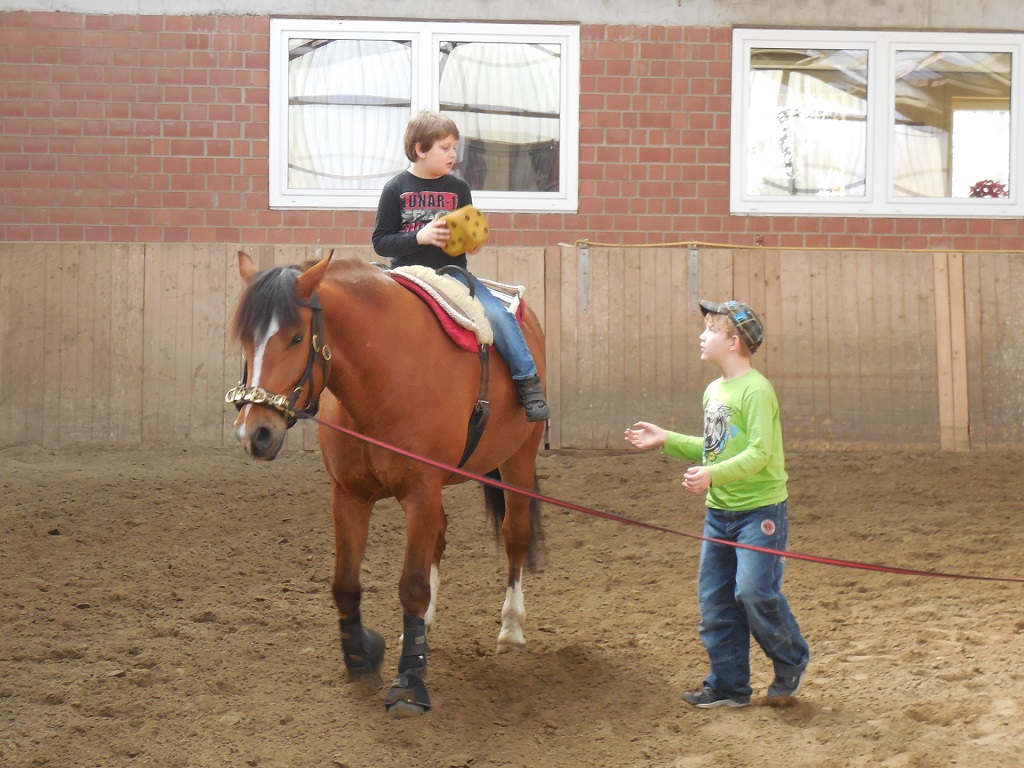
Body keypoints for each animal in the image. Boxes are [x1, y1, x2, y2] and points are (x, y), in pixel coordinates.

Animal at [224, 249, 544, 720]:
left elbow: (411, 586)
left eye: (298, 338)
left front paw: (409, 681)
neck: (384, 376)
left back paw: (511, 628)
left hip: (518, 459)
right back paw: (422, 628)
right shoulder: (349, 495)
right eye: (245, 340)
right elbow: (345, 585)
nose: (255, 433)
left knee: (515, 535)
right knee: (439, 539)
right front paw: (361, 656)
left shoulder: (421, 491)